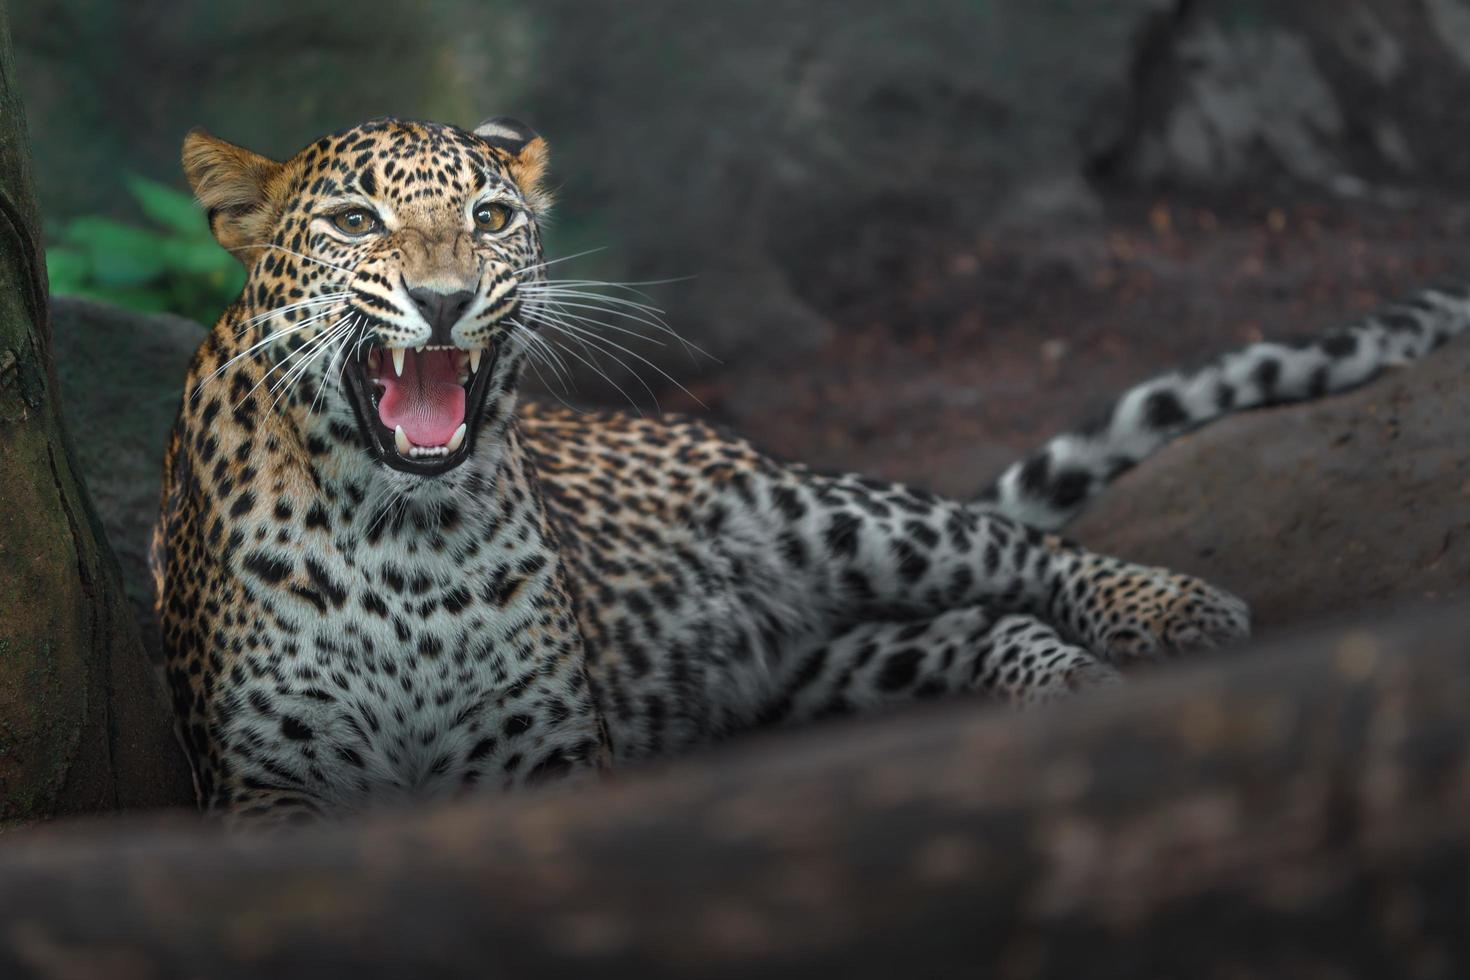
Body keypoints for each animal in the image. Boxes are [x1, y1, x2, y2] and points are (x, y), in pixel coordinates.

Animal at [152, 115, 1470, 822]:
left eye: (489, 217)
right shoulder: (271, 787)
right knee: (975, 623)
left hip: (824, 514)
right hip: (814, 673)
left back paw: (1167, 612)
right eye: (353, 224)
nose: (443, 298)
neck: (405, 533)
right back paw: (1067, 688)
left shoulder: (547, 755)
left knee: (1019, 548)